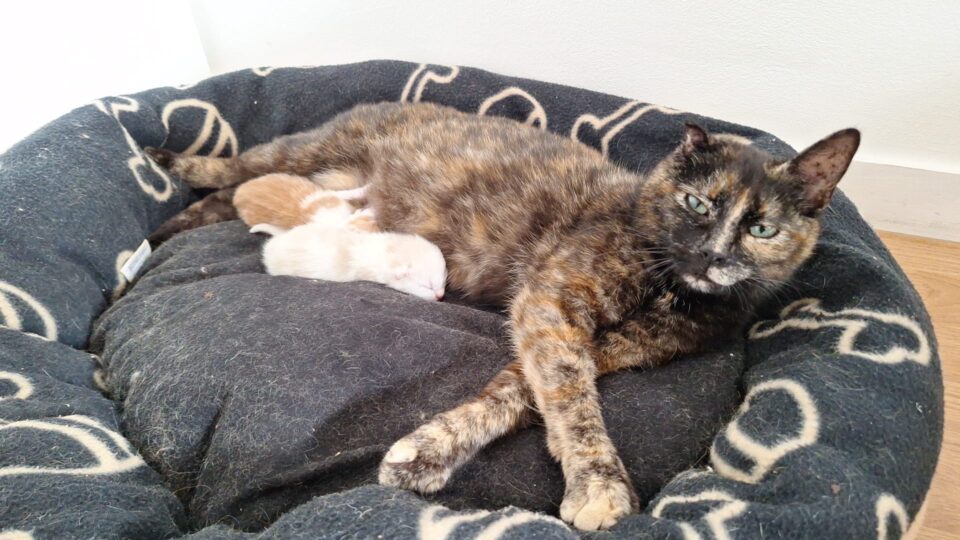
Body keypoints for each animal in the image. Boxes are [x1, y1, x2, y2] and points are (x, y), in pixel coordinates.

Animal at [146, 101, 859, 530]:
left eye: (761, 228)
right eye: (698, 204)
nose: (713, 256)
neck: (671, 287)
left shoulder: (599, 343)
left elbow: (521, 392)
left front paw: (431, 450)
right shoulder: (552, 303)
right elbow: (572, 401)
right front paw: (598, 485)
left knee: (222, 203)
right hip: (293, 154)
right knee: (223, 170)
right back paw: (155, 188)